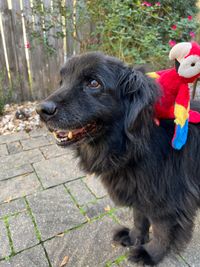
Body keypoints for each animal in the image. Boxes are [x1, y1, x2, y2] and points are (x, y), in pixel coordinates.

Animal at [36, 52, 200, 266]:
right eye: (62, 82)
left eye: (93, 83)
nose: (41, 110)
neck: (132, 146)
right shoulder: (140, 191)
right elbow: (139, 218)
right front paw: (134, 238)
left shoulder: (168, 201)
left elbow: (161, 233)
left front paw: (149, 254)